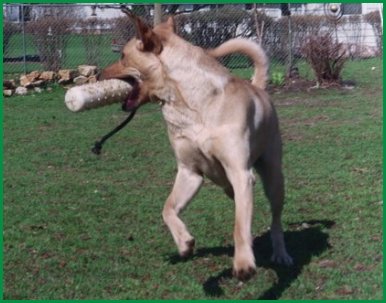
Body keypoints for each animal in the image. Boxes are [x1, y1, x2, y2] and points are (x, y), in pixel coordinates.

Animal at [99, 13, 292, 282]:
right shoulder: (189, 173)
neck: (191, 104)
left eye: (123, 56)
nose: (97, 75)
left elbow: (239, 227)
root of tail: (259, 87)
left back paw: (281, 253)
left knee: (275, 220)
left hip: (273, 179)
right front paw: (184, 243)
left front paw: (243, 262)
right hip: (229, 186)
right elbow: (168, 209)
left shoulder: (241, 174)